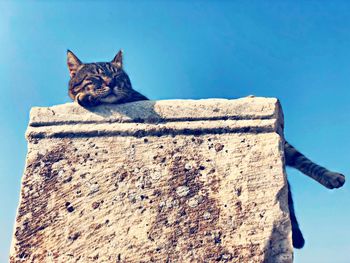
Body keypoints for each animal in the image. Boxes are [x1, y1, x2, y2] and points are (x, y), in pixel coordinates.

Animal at [67, 50, 346, 250]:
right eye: (97, 77)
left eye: (118, 76)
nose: (112, 84)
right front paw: (87, 96)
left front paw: (89, 97)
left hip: (290, 148)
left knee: (300, 159)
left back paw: (331, 176)